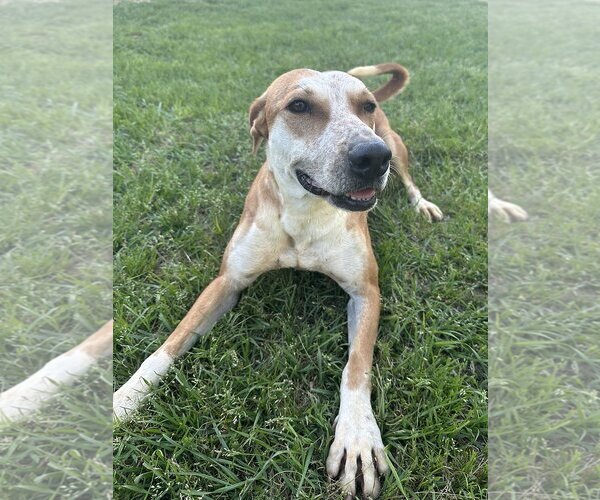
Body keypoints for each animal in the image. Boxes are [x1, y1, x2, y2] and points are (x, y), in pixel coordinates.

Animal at [112, 62, 442, 496]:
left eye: (366, 105)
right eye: (299, 106)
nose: (372, 156)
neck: (304, 214)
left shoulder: (366, 292)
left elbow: (357, 367)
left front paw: (357, 437)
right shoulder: (226, 282)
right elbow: (169, 344)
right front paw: (123, 400)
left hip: (396, 146)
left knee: (409, 179)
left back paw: (423, 204)